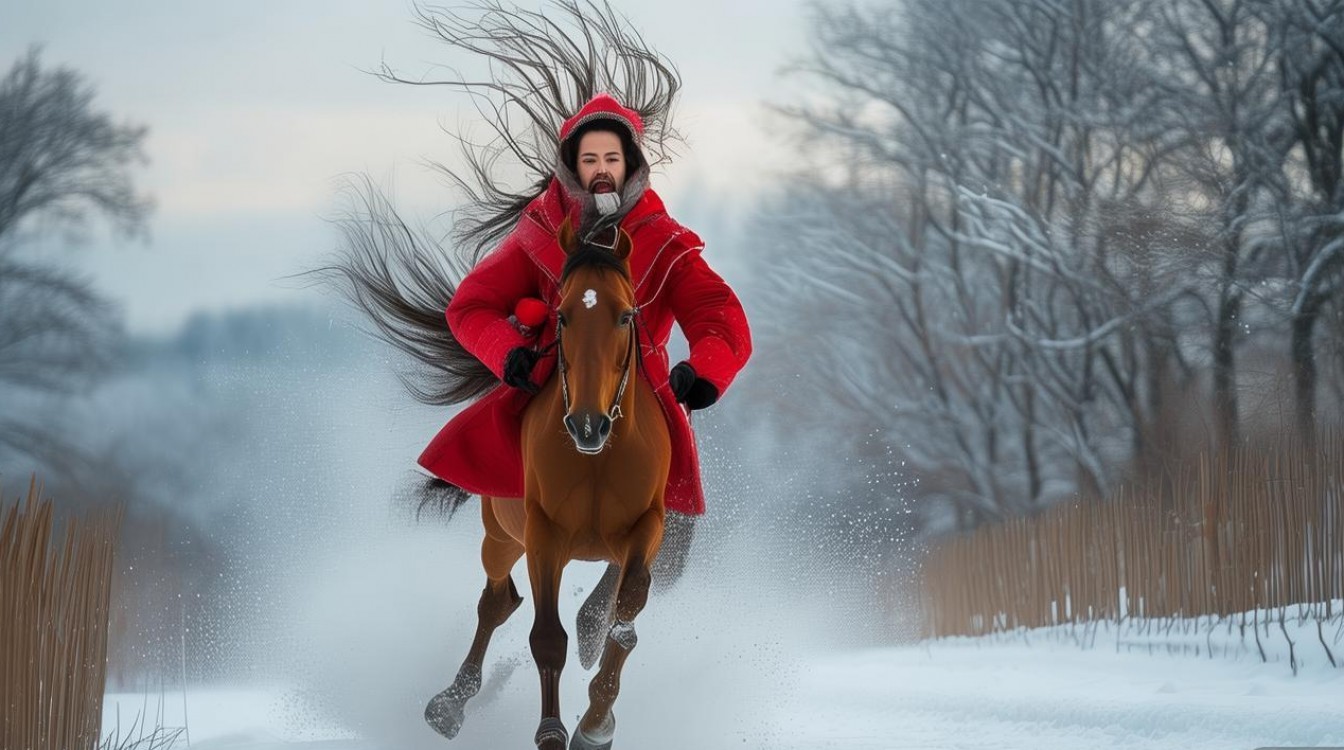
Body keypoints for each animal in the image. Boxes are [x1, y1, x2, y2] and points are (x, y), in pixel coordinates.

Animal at [423, 218, 672, 750]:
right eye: (562, 316)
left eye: (626, 316)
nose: (587, 425)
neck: (597, 459)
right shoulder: (544, 535)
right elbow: (547, 637)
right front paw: (554, 731)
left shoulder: (646, 528)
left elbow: (626, 618)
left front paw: (595, 724)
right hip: (499, 532)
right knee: (495, 601)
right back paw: (449, 704)